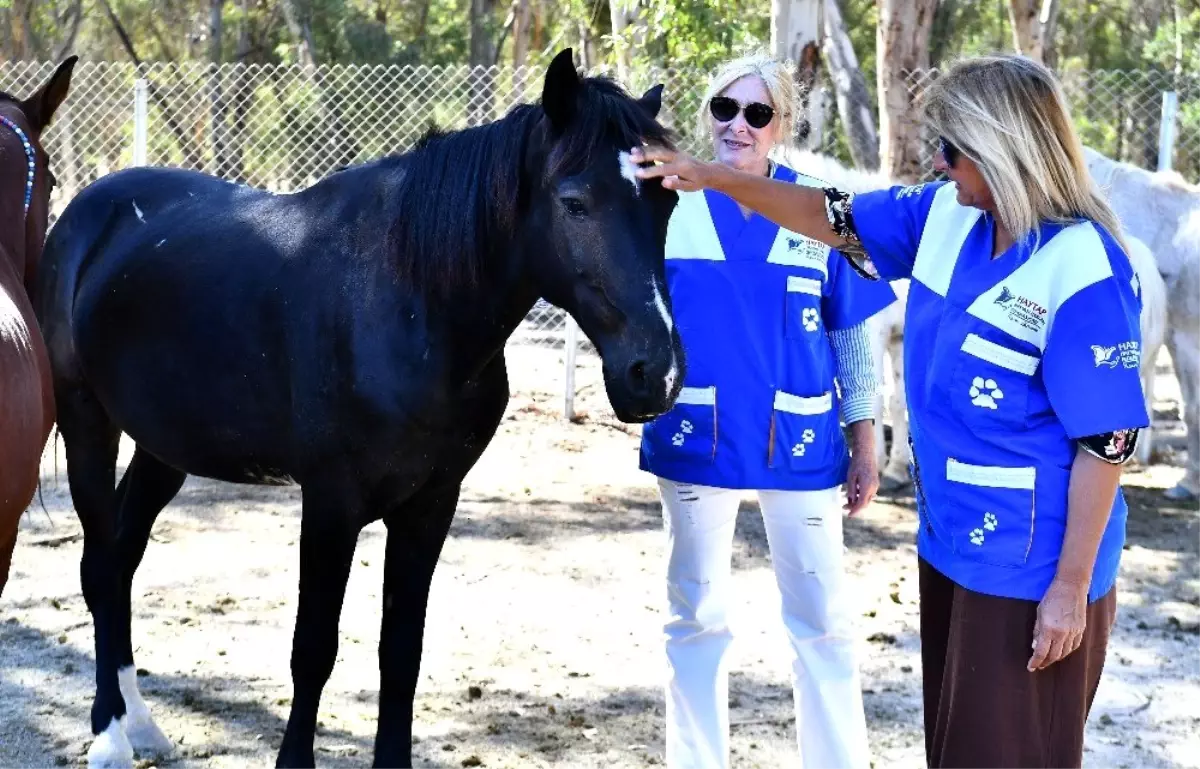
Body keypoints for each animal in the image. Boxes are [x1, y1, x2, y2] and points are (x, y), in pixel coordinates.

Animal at [35, 49, 686, 767]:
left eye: (668, 199)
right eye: (574, 202)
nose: (654, 374)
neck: (408, 300)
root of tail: (86, 213)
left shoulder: (431, 504)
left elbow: (401, 653)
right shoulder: (331, 503)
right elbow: (313, 650)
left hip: (164, 447)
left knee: (122, 558)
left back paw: (141, 722)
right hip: (88, 422)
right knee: (100, 565)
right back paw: (109, 735)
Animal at [768, 145, 1171, 491]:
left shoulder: (877, 331)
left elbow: (880, 396)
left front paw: (884, 468)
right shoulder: (896, 338)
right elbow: (896, 399)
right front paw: (895, 466)